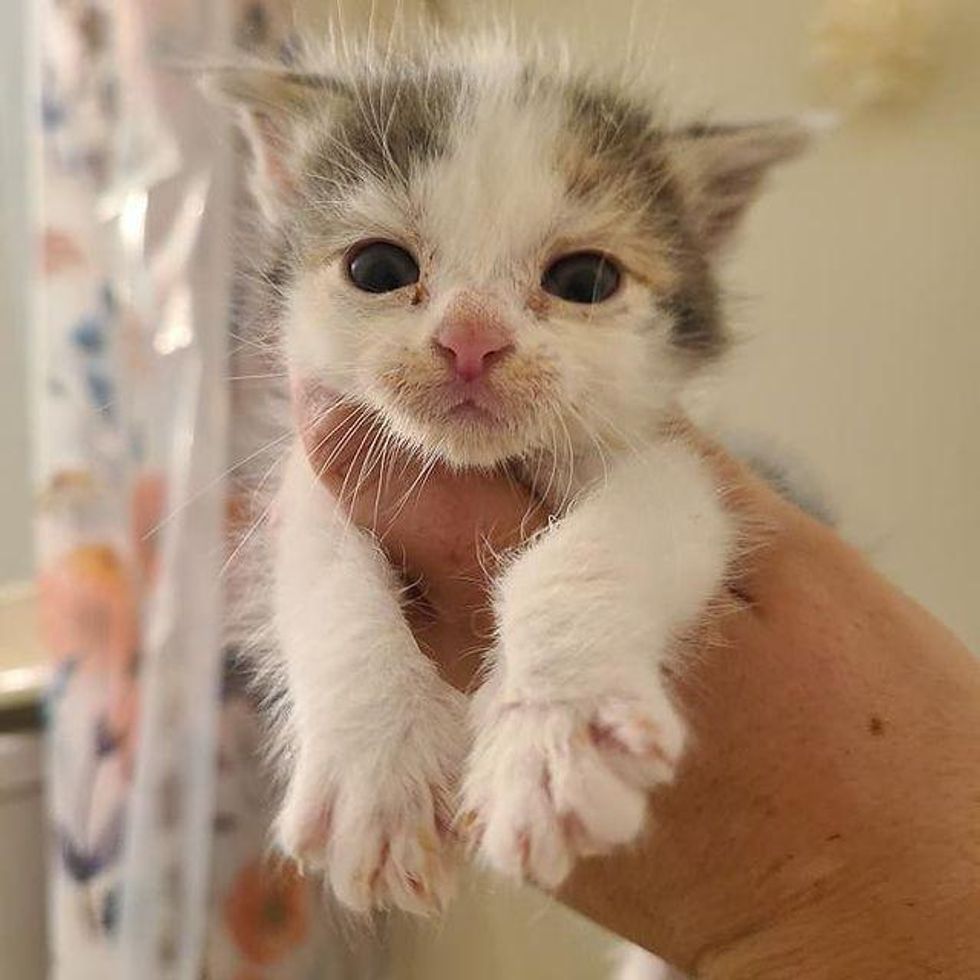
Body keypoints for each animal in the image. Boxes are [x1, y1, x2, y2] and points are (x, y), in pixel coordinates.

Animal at [214, 32, 804, 920]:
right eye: (378, 268)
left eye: (585, 281)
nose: (471, 337)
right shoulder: (317, 475)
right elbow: (325, 577)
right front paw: (372, 769)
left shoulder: (675, 465)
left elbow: (606, 541)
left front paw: (556, 731)